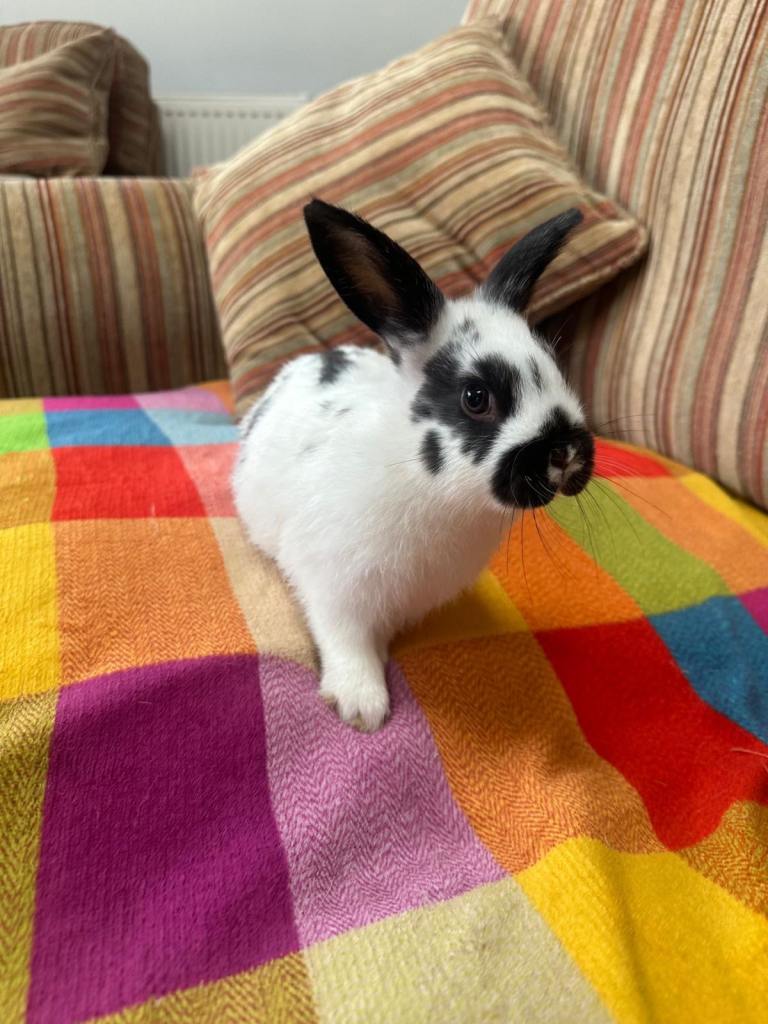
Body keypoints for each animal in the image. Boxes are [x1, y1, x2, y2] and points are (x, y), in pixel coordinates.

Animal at [233, 199, 594, 731]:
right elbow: (346, 642)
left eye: (554, 367)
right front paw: (362, 707)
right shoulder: (334, 590)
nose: (566, 453)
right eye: (475, 397)